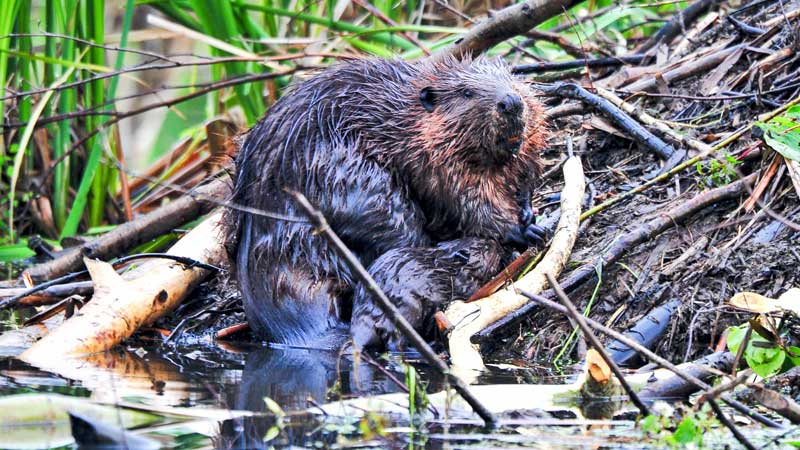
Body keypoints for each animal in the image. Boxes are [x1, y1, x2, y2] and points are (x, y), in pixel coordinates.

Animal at [227, 55, 552, 348]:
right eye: (466, 92)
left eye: (512, 79)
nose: (511, 102)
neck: (402, 120)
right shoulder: (432, 162)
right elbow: (467, 201)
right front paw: (525, 229)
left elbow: (525, 176)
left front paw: (529, 209)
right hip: (354, 182)